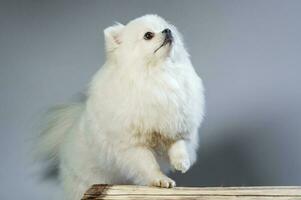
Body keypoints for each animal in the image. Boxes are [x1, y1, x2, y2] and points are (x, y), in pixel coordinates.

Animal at [35, 14, 204, 199]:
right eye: (148, 35)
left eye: (167, 27)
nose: (167, 31)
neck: (158, 76)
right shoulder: (133, 144)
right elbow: (149, 164)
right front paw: (160, 180)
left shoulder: (176, 124)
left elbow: (178, 145)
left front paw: (181, 162)